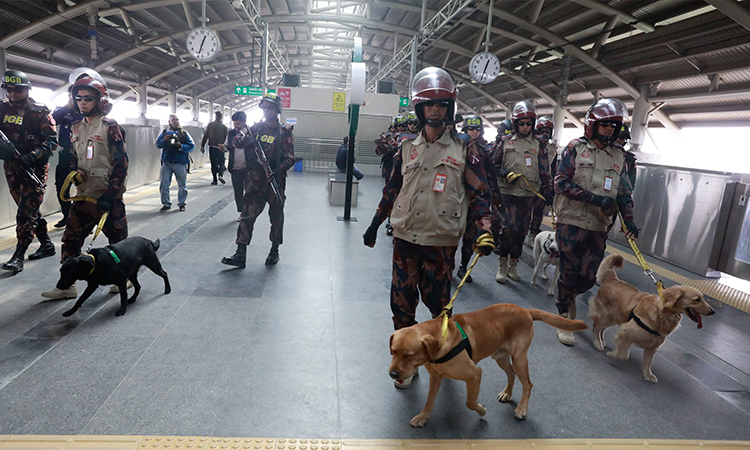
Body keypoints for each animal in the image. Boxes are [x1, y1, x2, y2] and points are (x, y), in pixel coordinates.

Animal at [390, 304, 592, 428]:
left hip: (519, 358)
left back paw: (522, 409)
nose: (392, 374)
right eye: (393, 351)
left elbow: (470, 402)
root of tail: (525, 310)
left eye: (409, 355)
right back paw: (507, 393)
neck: (441, 341)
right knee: (511, 375)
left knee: (528, 384)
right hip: (501, 357)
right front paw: (422, 417)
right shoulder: (436, 377)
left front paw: (481, 410)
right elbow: (429, 400)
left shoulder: (474, 374)